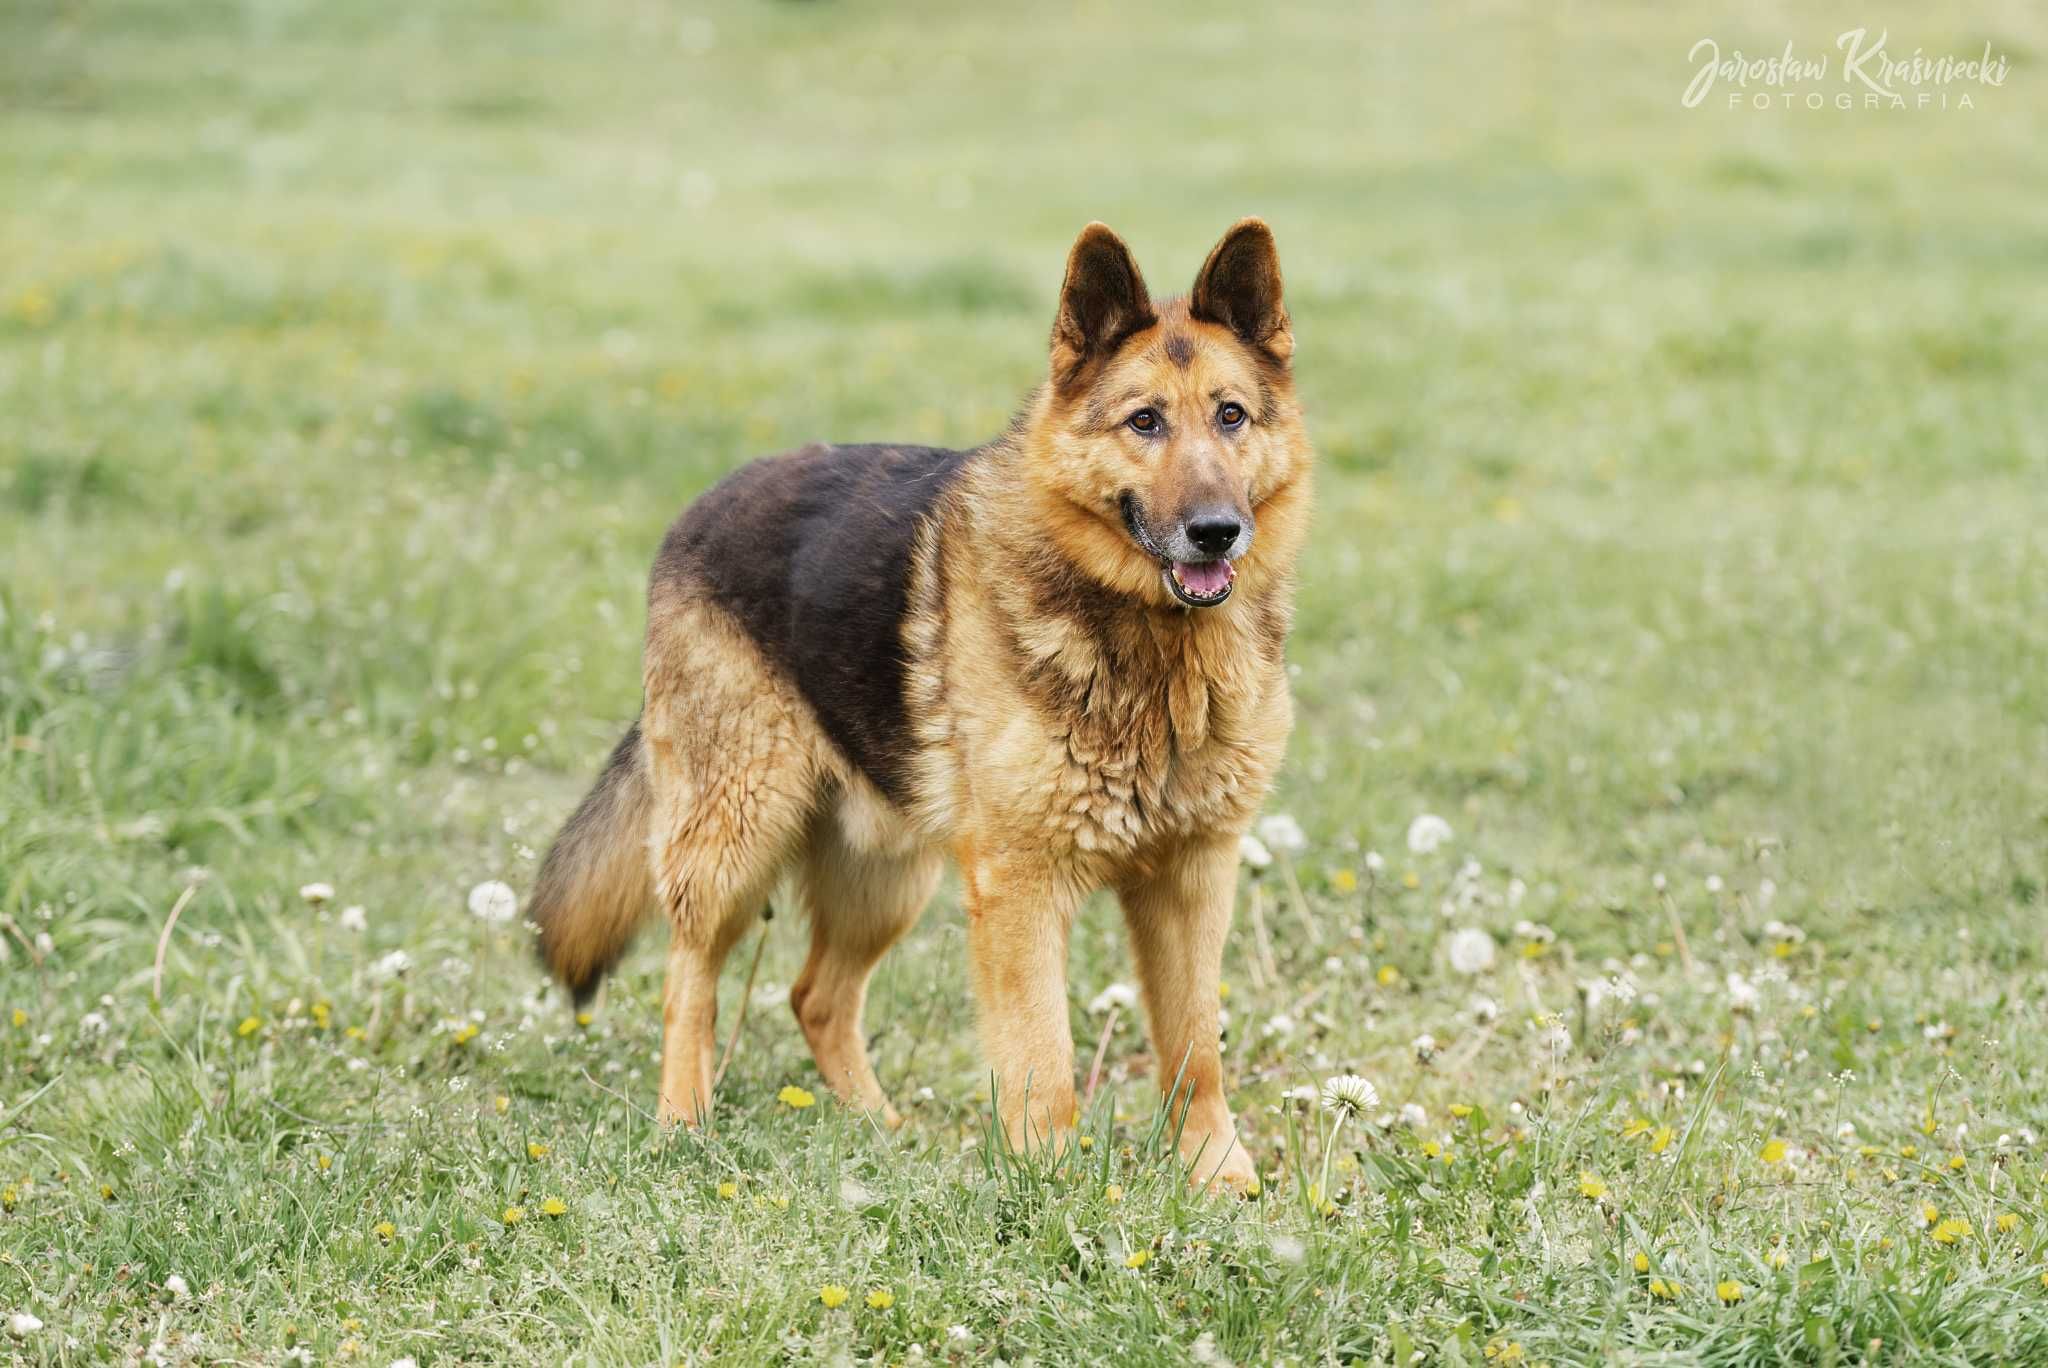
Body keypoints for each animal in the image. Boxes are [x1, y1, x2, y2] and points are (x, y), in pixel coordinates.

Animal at [528, 216, 1310, 1187]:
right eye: (1145, 422)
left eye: (1231, 415)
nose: (1216, 531)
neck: (1152, 650)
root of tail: (701, 507)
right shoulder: (1021, 889)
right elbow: (1043, 1057)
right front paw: (1052, 1186)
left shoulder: (1194, 879)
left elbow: (1196, 1048)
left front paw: (1217, 1177)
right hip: (736, 836)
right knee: (689, 982)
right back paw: (683, 1123)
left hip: (886, 876)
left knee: (816, 996)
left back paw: (879, 1131)